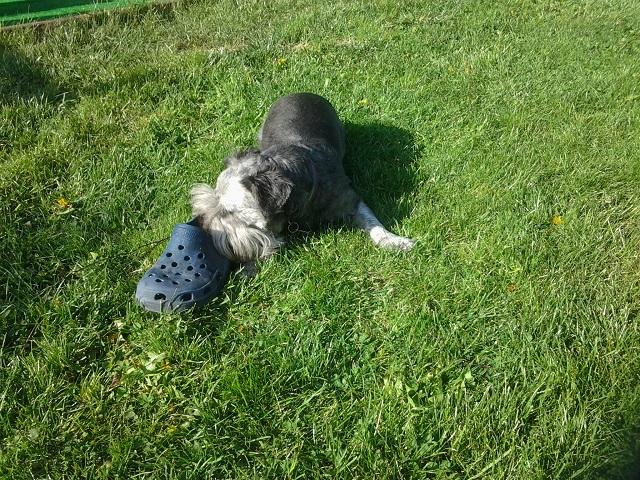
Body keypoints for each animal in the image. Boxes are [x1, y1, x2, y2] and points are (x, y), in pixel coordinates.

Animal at [190, 93, 415, 268]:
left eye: (227, 212)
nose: (203, 228)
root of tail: (301, 93)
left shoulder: (350, 199)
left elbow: (373, 223)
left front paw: (396, 241)